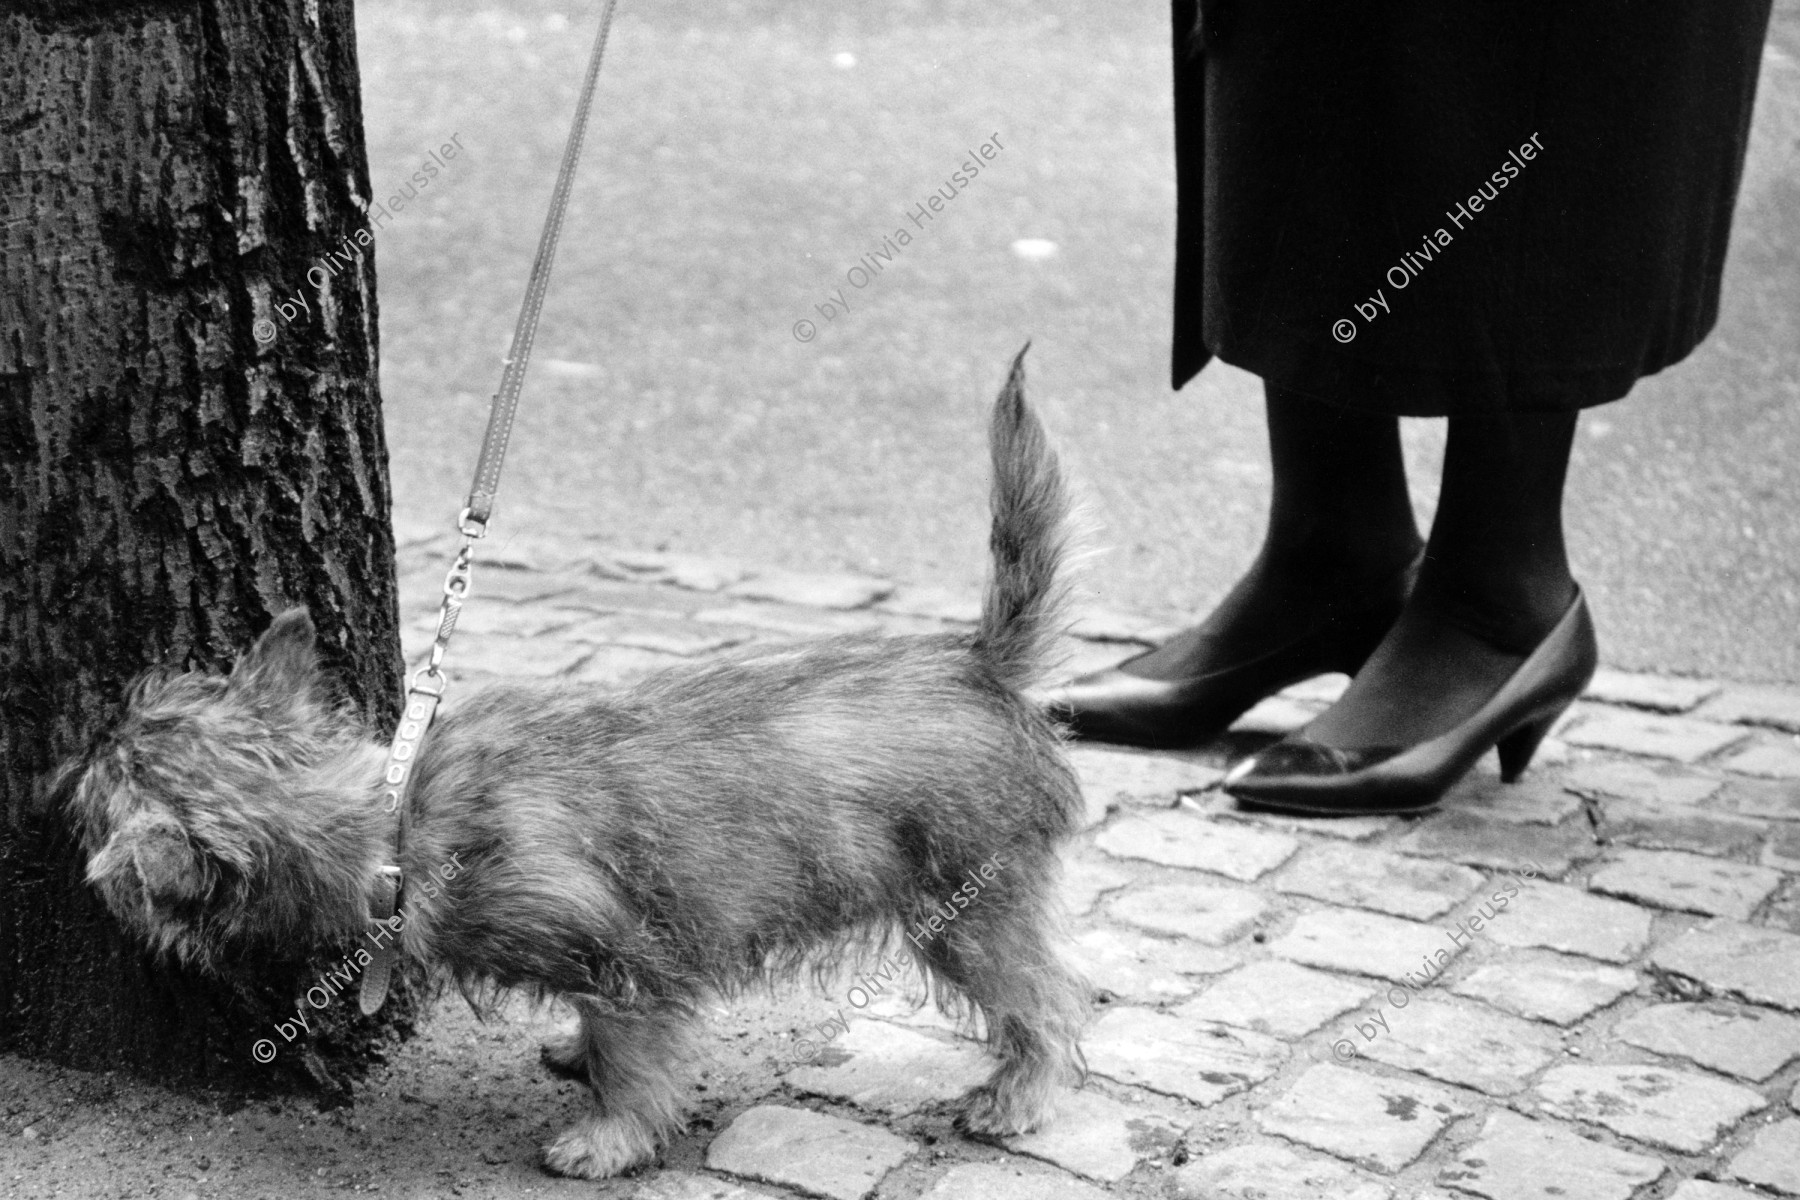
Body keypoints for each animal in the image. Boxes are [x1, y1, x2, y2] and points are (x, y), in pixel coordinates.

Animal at [63, 347, 1087, 1180]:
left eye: (99, 791)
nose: (77, 752)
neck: (398, 821)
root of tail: (978, 661)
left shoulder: (625, 956)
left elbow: (635, 1058)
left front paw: (608, 1136)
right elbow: (598, 1029)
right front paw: (576, 1056)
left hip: (967, 911)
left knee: (1044, 1000)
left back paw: (1018, 1095)